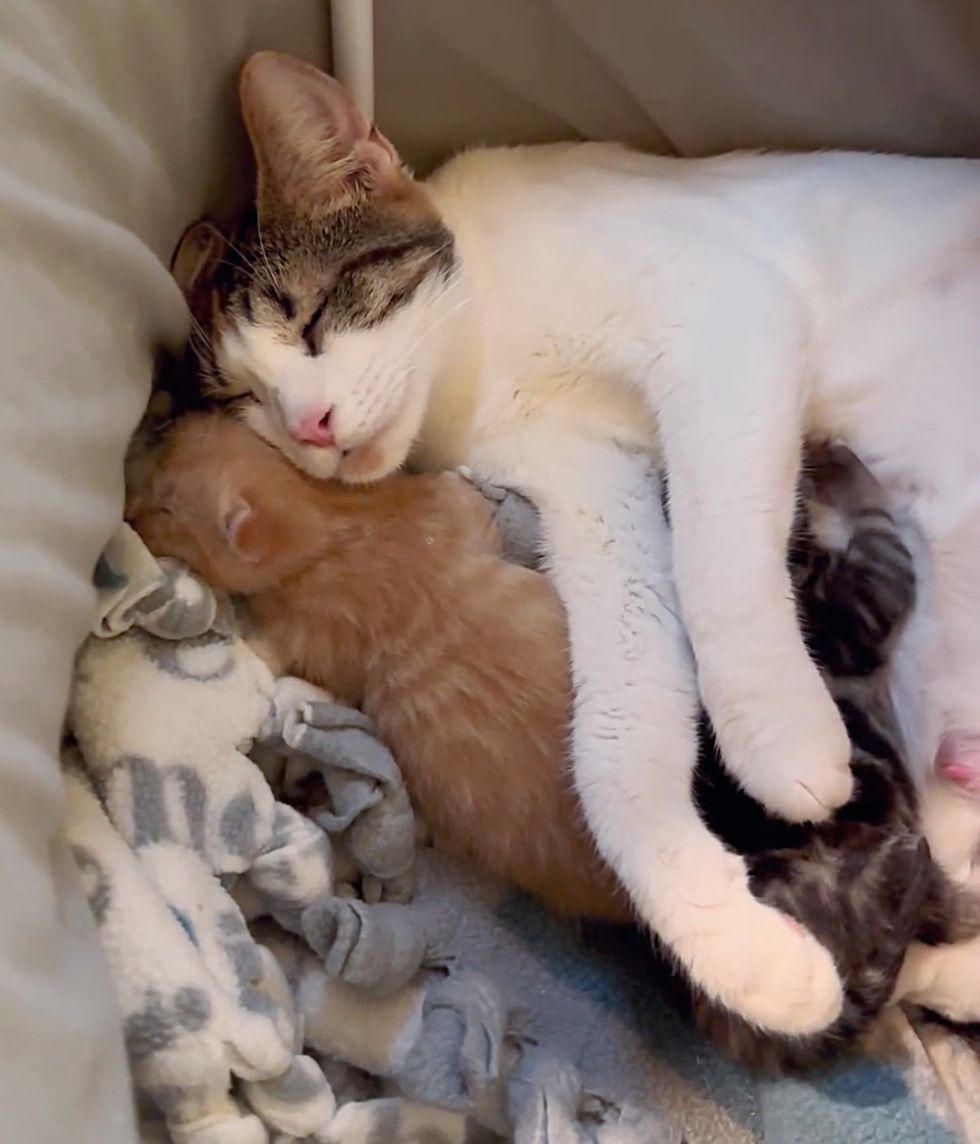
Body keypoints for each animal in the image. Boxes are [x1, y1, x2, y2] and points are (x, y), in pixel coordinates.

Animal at [132, 416, 626, 924]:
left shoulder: (321, 639)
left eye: (165, 506)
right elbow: (462, 496)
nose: (129, 511)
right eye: (166, 443)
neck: (334, 520)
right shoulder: (445, 509)